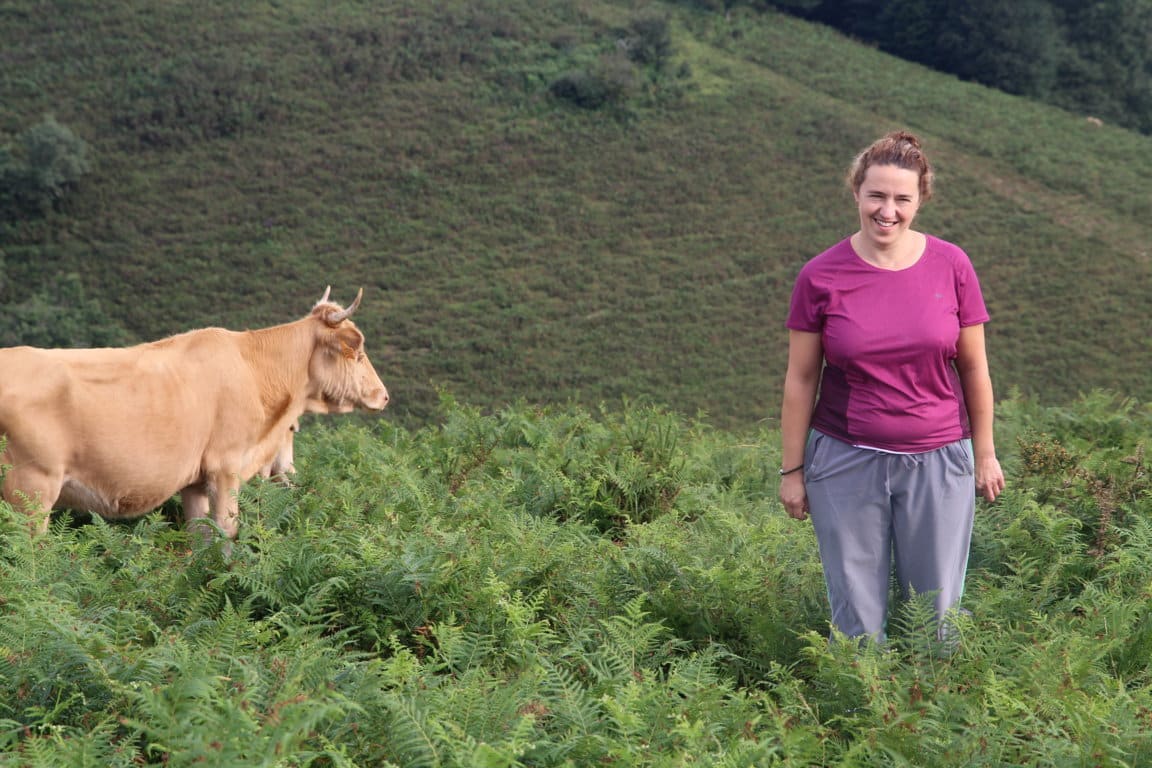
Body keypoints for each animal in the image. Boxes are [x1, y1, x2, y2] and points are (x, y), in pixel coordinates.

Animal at [0, 285, 391, 538]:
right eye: (357, 351)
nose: (383, 396)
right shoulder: (225, 467)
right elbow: (227, 534)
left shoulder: (195, 482)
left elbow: (200, 539)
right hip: (31, 489)